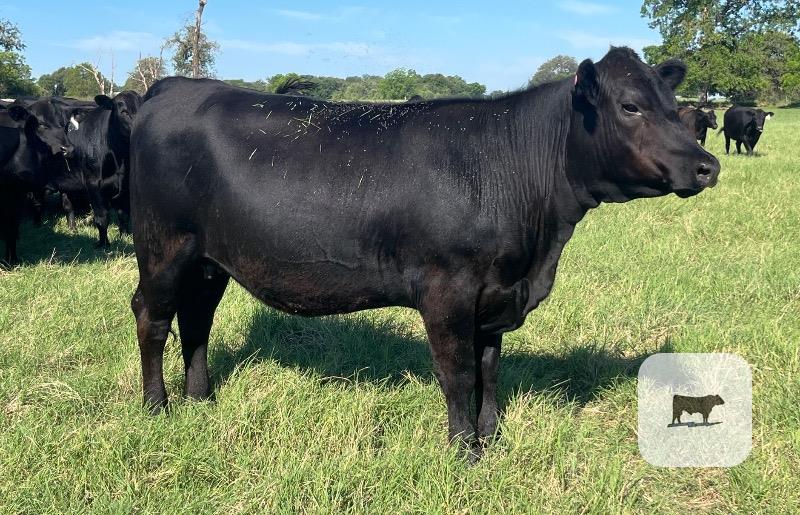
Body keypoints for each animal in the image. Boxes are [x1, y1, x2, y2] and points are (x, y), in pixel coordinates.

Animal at [65, 90, 143, 246]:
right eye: (124, 112)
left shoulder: (126, 185)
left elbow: (124, 215)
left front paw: (124, 236)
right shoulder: (93, 184)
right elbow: (101, 217)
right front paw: (103, 244)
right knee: (68, 205)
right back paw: (72, 228)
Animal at [129, 47, 720, 457]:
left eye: (676, 108)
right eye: (630, 106)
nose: (707, 165)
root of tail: (172, 87)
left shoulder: (495, 295)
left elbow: (489, 370)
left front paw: (491, 438)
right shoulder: (448, 290)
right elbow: (456, 372)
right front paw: (463, 452)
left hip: (209, 260)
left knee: (197, 319)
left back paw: (201, 399)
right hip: (164, 246)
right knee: (152, 316)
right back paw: (157, 407)